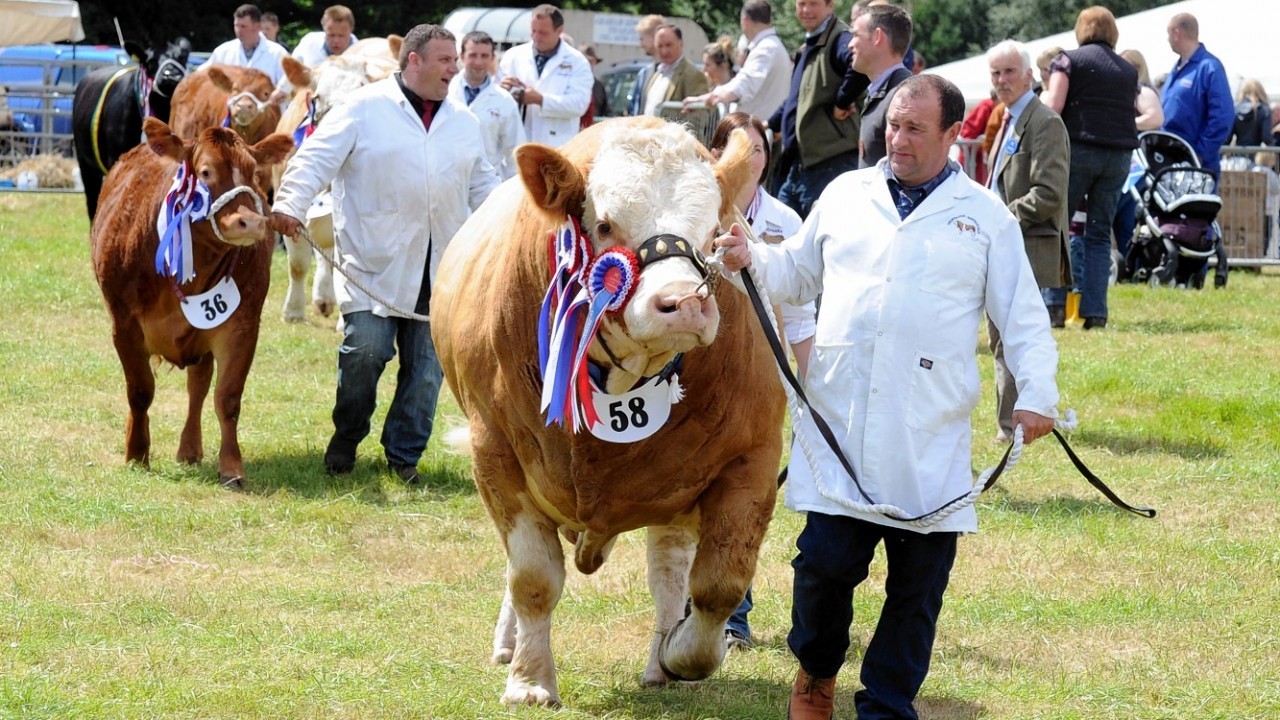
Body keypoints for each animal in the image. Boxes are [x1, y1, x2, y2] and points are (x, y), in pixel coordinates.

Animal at [92, 117, 293, 486]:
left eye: (254, 172)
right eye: (205, 172)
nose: (250, 222)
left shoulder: (242, 324)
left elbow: (227, 397)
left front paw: (232, 468)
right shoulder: (123, 323)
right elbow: (139, 390)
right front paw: (137, 453)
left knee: (197, 387)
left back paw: (189, 448)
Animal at [435, 114, 783, 702]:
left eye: (714, 232)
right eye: (604, 225)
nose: (683, 302)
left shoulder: (752, 459)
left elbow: (719, 585)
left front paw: (681, 653)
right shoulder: (496, 455)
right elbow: (532, 577)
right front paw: (529, 679)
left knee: (668, 571)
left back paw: (661, 659)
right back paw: (509, 643)